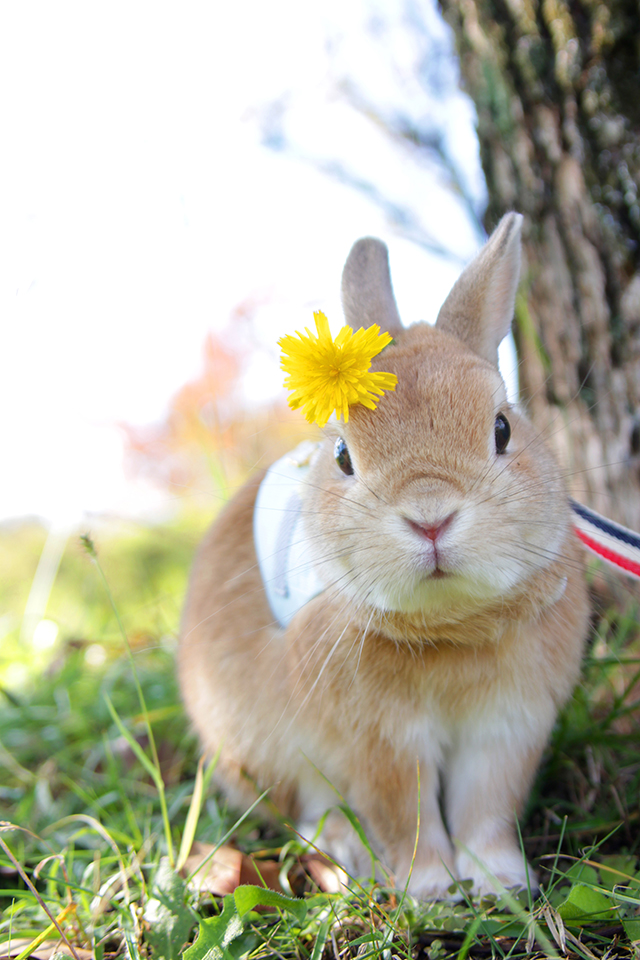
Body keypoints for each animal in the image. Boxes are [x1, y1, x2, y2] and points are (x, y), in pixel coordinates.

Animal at [180, 212, 592, 900]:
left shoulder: (507, 731)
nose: (431, 517)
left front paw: (499, 881)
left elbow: (486, 808)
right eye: (343, 455)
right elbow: (406, 816)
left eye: (502, 428)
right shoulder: (380, 745)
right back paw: (348, 856)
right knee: (309, 813)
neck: (451, 627)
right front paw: (431, 889)